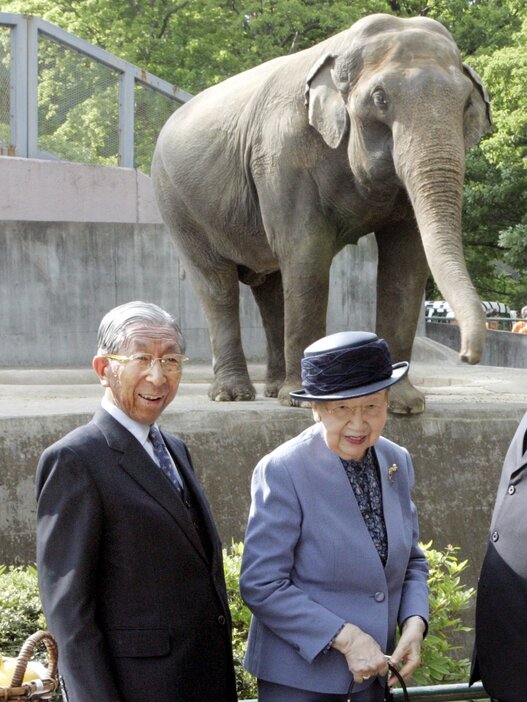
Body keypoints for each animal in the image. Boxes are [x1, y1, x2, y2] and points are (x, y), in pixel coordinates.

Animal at [152, 11, 490, 412]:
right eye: (380, 98)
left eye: (466, 103)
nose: (468, 355)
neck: (342, 45)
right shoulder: (283, 157)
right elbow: (306, 252)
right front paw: (303, 402)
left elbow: (406, 263)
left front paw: (405, 405)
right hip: (178, 206)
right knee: (217, 286)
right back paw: (233, 395)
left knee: (271, 288)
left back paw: (273, 390)